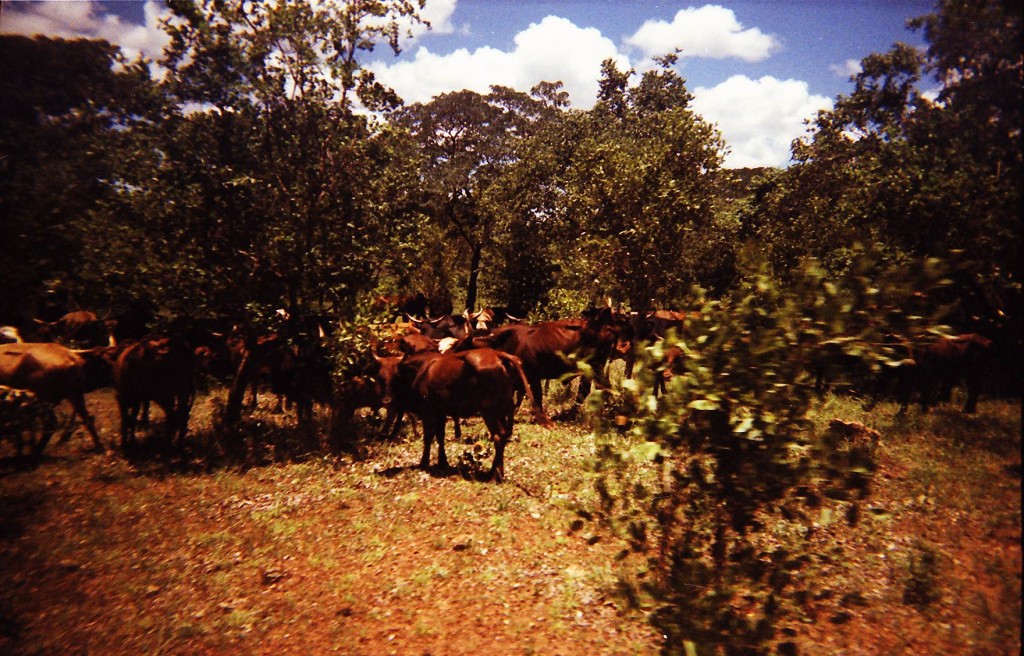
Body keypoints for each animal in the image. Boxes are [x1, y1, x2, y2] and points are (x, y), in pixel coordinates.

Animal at [378, 347, 536, 480]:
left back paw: (494, 474)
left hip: (489, 410)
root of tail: (498, 354)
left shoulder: (428, 411)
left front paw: (424, 462)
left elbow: (428, 437)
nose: (387, 400)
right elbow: (440, 436)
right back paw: (496, 472)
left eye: (396, 375)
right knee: (504, 435)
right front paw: (442, 461)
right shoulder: (441, 413)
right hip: (502, 409)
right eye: (380, 377)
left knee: (498, 436)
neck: (421, 370)